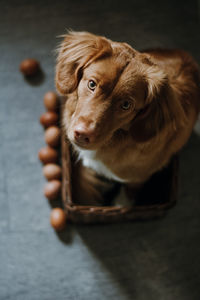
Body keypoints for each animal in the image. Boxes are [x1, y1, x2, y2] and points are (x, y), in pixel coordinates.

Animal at [55, 31, 200, 206]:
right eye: (92, 84)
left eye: (126, 105)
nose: (82, 134)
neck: (115, 140)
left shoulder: (137, 179)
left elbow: (128, 194)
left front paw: (120, 205)